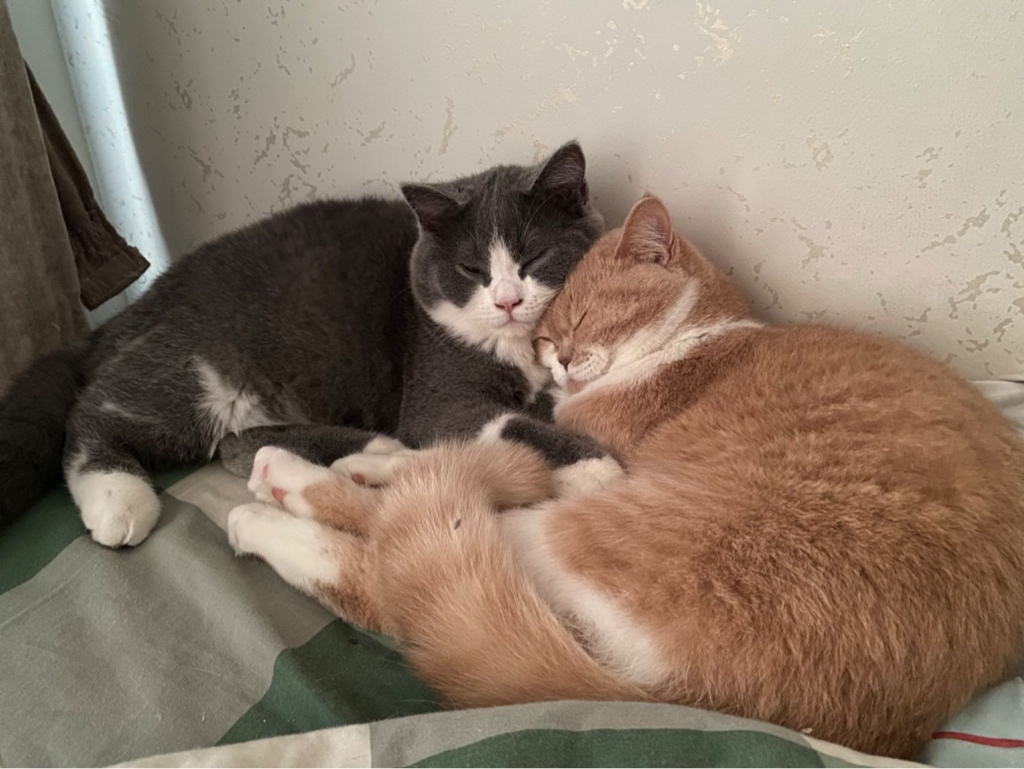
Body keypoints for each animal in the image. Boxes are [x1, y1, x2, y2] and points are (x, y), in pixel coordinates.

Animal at [0, 142, 611, 547]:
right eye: (472, 270)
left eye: (534, 257)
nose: (508, 301)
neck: (517, 347)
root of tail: (133, 312)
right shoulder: (437, 384)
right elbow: (501, 421)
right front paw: (596, 466)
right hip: (197, 367)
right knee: (95, 414)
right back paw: (118, 500)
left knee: (235, 444)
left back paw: (374, 450)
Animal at [224, 194, 1024, 759]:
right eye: (548, 333)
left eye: (587, 317)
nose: (557, 358)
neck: (693, 341)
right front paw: (380, 455)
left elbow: (463, 465)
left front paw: (369, 462)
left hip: (570, 535)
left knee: (390, 568)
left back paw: (276, 489)